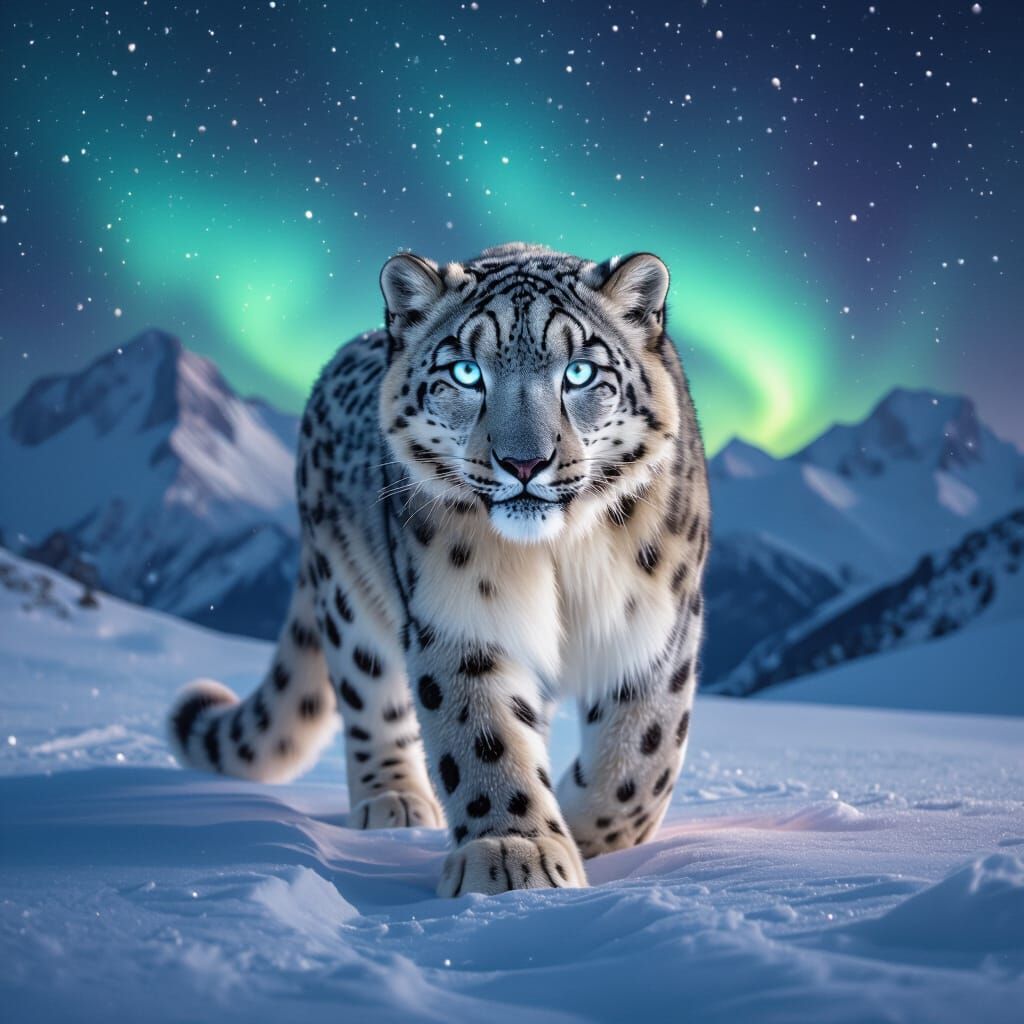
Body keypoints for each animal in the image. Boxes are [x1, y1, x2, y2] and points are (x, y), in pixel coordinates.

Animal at [167, 242, 710, 896]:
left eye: (579, 372)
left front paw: (583, 833)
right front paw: (516, 855)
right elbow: (482, 735)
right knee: (371, 696)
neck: (556, 559)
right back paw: (394, 801)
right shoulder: (460, 617)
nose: (523, 462)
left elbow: (640, 759)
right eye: (466, 373)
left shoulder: (653, 624)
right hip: (347, 599)